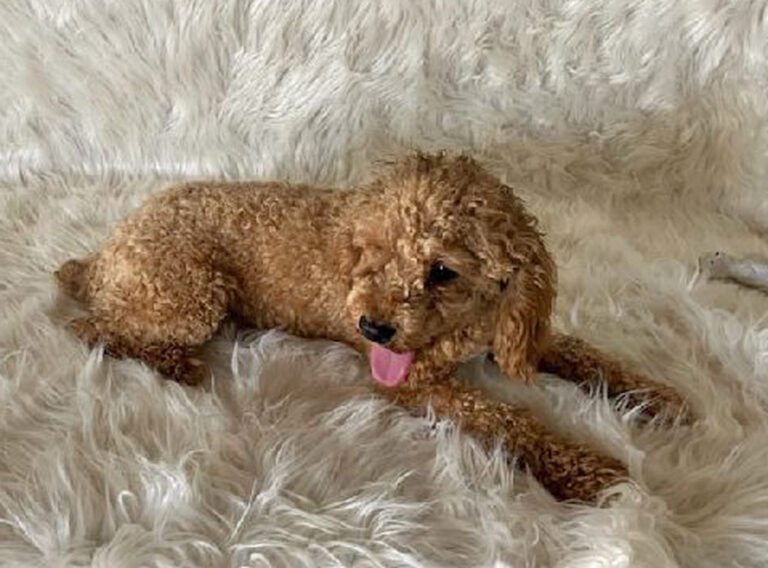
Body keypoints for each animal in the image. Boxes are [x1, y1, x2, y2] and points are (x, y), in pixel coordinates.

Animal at [56, 152, 689, 502]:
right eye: (374, 253)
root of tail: (104, 253)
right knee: (93, 328)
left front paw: (658, 398)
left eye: (443, 271)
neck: (458, 329)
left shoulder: (512, 332)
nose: (373, 327)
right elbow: (507, 418)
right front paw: (588, 470)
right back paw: (173, 361)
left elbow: (589, 355)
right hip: (189, 297)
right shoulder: (415, 384)